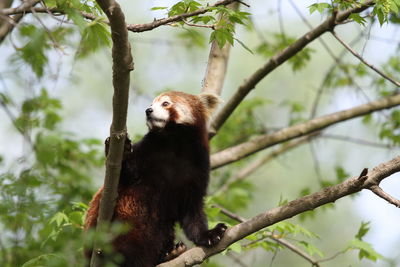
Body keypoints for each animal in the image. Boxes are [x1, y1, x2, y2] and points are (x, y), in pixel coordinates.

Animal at [83, 91, 228, 266]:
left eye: (165, 103)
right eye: (152, 104)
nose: (148, 110)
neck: (175, 143)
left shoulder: (197, 166)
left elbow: (192, 209)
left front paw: (210, 234)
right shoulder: (147, 150)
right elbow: (124, 174)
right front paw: (123, 149)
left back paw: (171, 253)